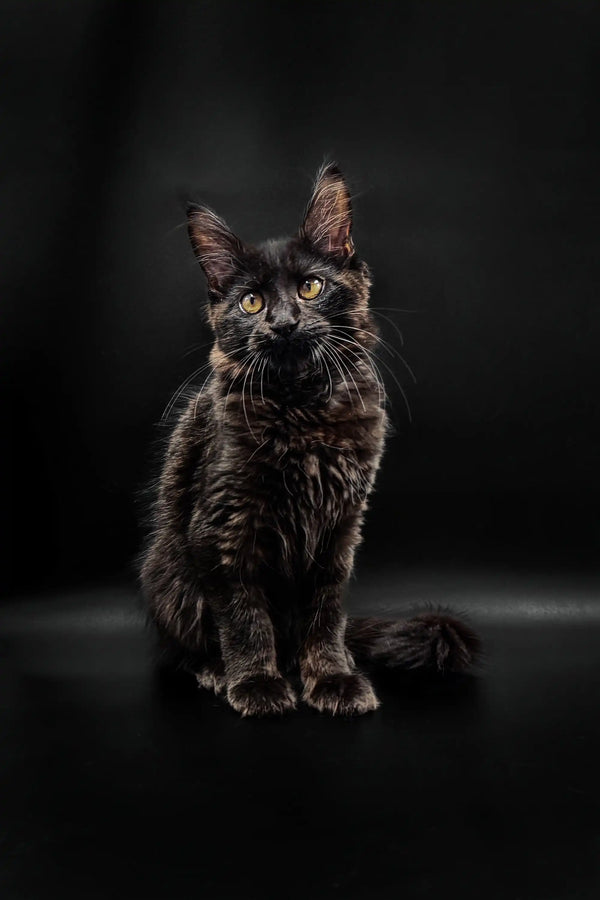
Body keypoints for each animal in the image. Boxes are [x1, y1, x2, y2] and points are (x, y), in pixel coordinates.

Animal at [139, 163, 478, 716]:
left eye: (311, 288)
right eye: (252, 301)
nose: (283, 323)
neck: (302, 409)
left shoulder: (338, 529)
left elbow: (325, 617)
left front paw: (331, 677)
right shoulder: (224, 529)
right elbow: (244, 618)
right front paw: (256, 683)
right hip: (169, 573)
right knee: (186, 646)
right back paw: (216, 670)